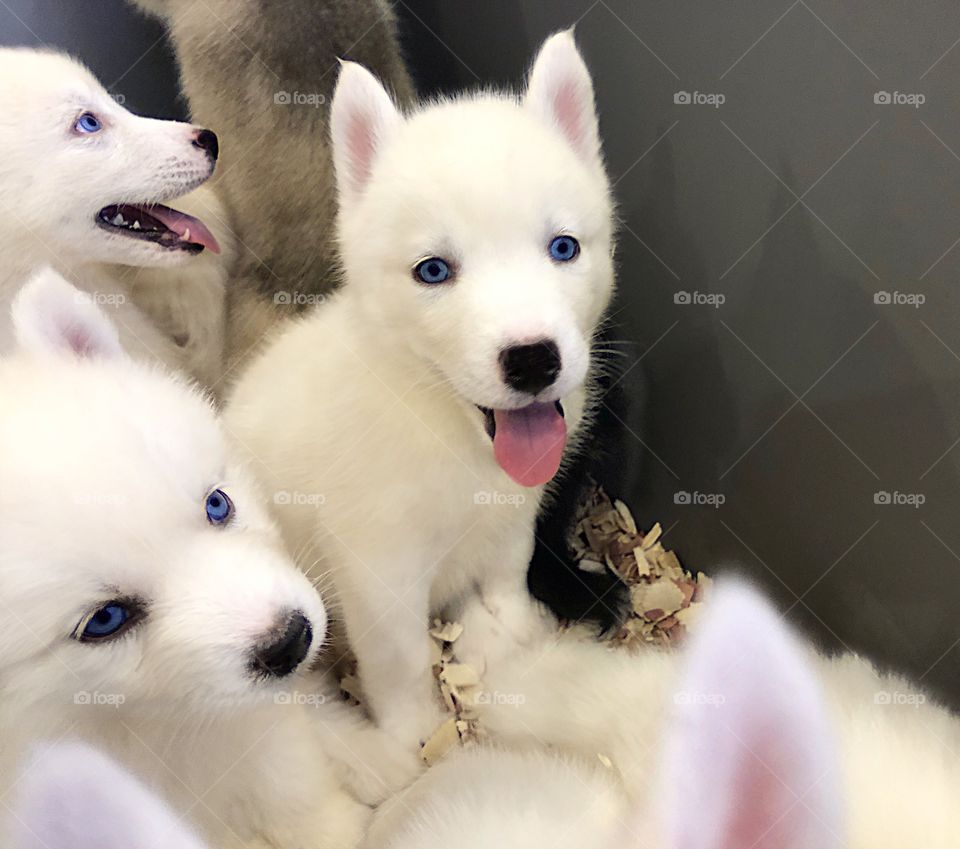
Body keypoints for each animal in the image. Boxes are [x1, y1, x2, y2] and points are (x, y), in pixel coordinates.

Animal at [225, 31, 616, 748]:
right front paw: (414, 734)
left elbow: (509, 567)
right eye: (433, 271)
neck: (444, 429)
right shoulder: (380, 573)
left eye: (564, 247)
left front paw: (517, 626)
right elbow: (401, 661)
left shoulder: (514, 514)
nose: (533, 361)